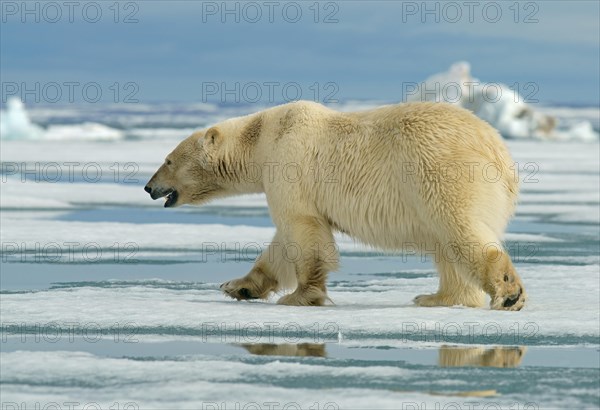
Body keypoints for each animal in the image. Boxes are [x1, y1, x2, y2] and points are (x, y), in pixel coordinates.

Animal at [144, 101, 524, 310]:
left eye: (167, 159)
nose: (148, 187)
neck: (263, 138)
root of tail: (500, 153)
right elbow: (282, 241)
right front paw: (238, 286)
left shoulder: (289, 164)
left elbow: (302, 229)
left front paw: (300, 296)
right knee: (446, 246)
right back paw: (438, 297)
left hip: (440, 172)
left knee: (459, 229)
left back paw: (507, 293)